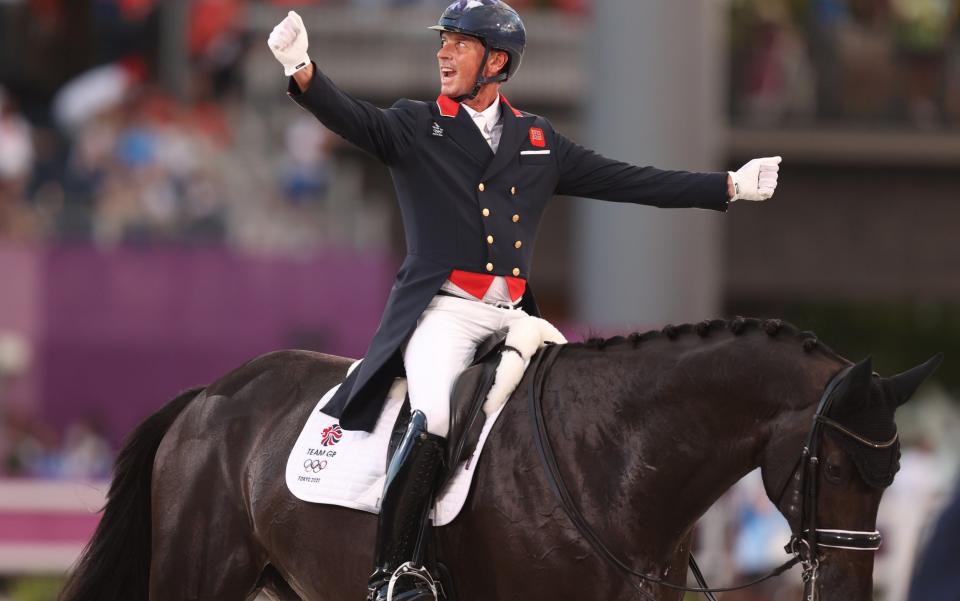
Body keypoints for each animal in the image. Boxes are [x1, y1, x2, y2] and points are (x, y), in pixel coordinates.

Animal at [58, 316, 936, 596]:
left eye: (893, 477)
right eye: (837, 468)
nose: (851, 591)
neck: (618, 458)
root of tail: (209, 394)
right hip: (196, 573)